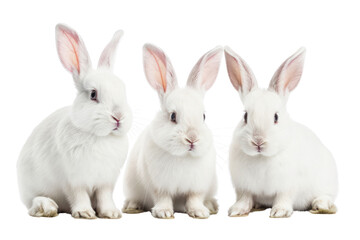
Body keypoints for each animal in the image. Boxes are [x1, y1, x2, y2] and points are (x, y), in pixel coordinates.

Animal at [16, 24, 132, 219]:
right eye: (93, 94)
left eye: (123, 89)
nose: (118, 116)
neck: (99, 137)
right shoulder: (73, 180)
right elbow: (79, 195)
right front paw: (84, 213)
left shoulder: (105, 181)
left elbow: (104, 197)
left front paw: (111, 213)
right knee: (34, 200)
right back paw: (46, 207)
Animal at [122, 44, 221, 218]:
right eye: (173, 116)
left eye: (203, 116)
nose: (192, 138)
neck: (183, 157)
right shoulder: (158, 185)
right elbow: (163, 197)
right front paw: (164, 213)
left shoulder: (198, 187)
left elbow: (194, 198)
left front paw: (200, 212)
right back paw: (132, 206)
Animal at [225, 46, 338, 218]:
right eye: (245, 116)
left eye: (276, 117)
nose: (258, 141)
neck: (261, 157)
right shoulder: (244, 187)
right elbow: (245, 198)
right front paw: (237, 210)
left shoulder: (288, 186)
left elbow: (283, 197)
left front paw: (280, 212)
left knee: (325, 195)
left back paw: (320, 204)